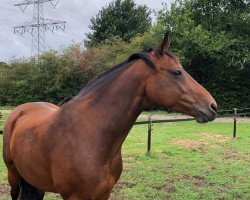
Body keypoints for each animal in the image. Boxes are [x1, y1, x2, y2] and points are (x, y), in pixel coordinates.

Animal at [2, 32, 217, 198]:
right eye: (176, 72)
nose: (212, 106)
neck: (90, 135)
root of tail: (19, 112)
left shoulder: (104, 193)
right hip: (13, 175)